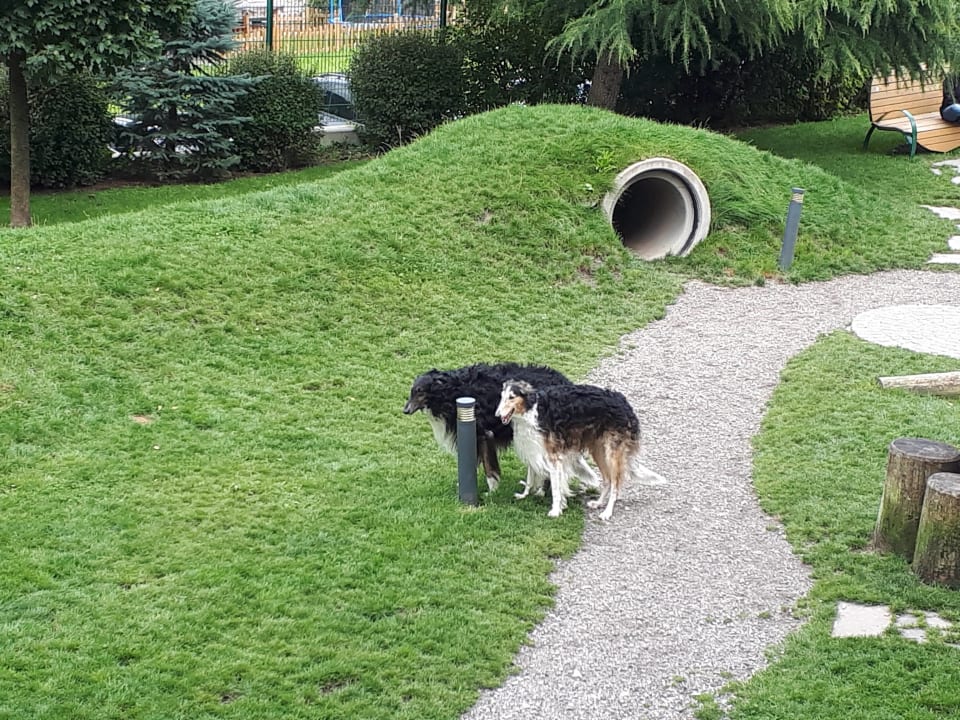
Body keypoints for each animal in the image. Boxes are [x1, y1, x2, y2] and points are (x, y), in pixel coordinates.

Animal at [403, 363, 600, 493]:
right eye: (412, 391)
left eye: (420, 391)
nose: (405, 410)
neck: (452, 391)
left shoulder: (484, 434)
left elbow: (489, 467)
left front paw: (492, 489)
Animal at [496, 379, 665, 520]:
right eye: (502, 396)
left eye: (511, 397)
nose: (497, 415)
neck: (532, 410)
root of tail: (625, 403)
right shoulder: (533, 449)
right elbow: (530, 478)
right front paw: (523, 495)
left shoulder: (553, 457)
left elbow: (556, 489)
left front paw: (555, 511)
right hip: (599, 451)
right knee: (608, 480)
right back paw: (598, 503)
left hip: (612, 454)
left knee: (615, 485)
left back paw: (607, 512)